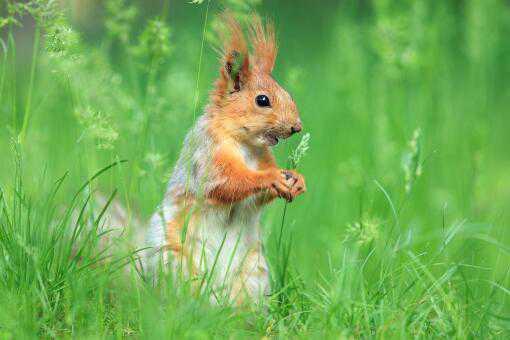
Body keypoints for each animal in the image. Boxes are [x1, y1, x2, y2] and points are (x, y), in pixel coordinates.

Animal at [141, 13, 304, 306]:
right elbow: (227, 183)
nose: (297, 127)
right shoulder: (207, 155)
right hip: (174, 264)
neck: (246, 145)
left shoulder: (262, 157)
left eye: (289, 94)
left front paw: (296, 180)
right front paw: (271, 178)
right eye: (262, 100)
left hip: (253, 272)